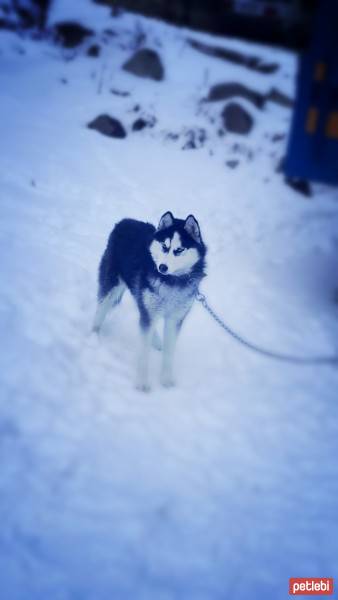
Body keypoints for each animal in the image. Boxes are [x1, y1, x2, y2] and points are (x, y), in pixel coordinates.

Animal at [93, 213, 207, 392]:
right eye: (164, 246)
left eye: (179, 250)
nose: (162, 267)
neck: (171, 282)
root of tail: (125, 221)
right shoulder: (149, 311)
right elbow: (143, 352)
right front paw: (141, 383)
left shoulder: (175, 318)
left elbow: (169, 352)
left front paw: (166, 379)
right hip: (112, 287)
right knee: (101, 309)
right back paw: (93, 335)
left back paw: (157, 342)